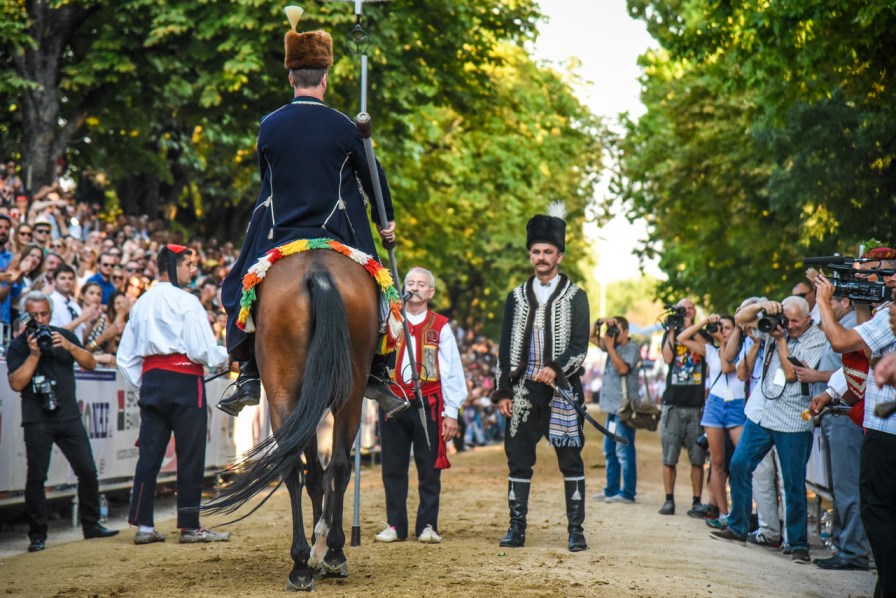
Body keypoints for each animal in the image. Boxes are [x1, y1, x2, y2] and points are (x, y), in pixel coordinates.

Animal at [203, 248, 382, 592]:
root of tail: (318, 271)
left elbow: (312, 474)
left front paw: (315, 553)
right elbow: (321, 472)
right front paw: (321, 550)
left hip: (284, 392)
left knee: (299, 466)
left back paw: (305, 562)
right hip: (347, 392)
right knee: (337, 466)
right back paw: (326, 555)